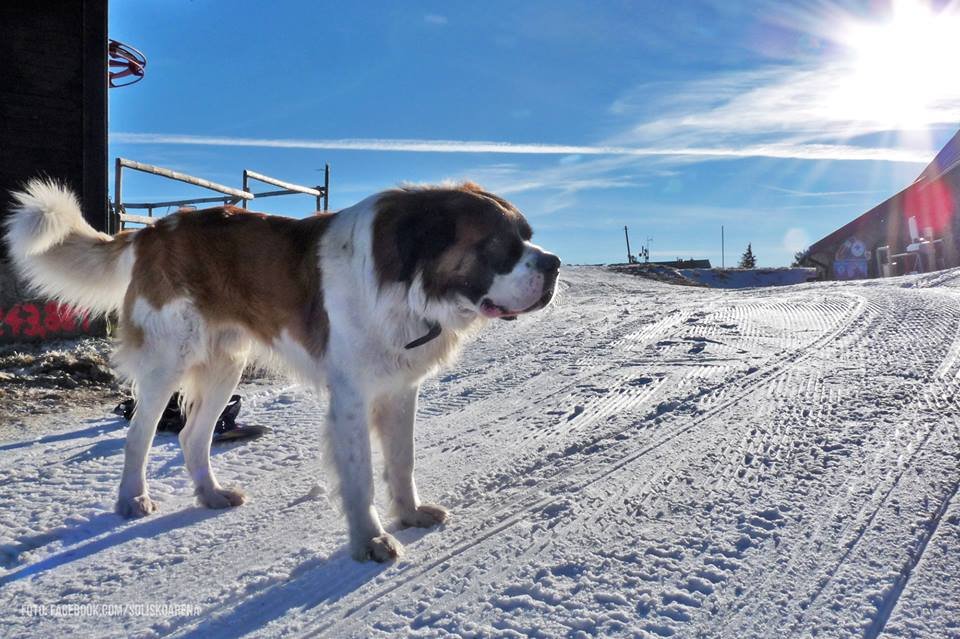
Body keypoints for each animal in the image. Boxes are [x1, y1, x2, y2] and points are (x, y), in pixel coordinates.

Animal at [3, 179, 560, 560]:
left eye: (529, 237)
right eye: (500, 245)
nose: (554, 263)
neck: (408, 277)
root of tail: (156, 228)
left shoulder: (400, 389)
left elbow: (402, 460)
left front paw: (409, 513)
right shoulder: (352, 397)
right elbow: (359, 476)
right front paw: (371, 539)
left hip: (225, 365)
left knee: (190, 435)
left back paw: (210, 493)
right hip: (168, 360)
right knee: (140, 434)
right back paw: (133, 498)